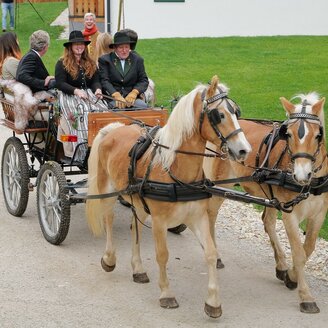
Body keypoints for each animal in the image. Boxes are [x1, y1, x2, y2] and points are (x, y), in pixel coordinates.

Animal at [85, 75, 251, 318]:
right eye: (219, 115)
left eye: (236, 112)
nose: (244, 150)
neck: (175, 168)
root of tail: (114, 127)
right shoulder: (160, 221)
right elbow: (162, 254)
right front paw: (166, 293)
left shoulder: (197, 217)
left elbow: (211, 253)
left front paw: (213, 301)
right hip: (107, 190)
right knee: (108, 219)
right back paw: (109, 258)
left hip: (137, 201)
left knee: (135, 227)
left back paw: (138, 269)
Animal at [205, 92, 328, 316]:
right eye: (289, 135)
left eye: (318, 135)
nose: (301, 174)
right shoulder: (290, 213)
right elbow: (299, 253)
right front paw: (305, 295)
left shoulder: (319, 213)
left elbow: (309, 248)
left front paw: (291, 275)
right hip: (217, 184)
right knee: (210, 215)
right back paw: (216, 255)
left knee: (268, 221)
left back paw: (281, 265)